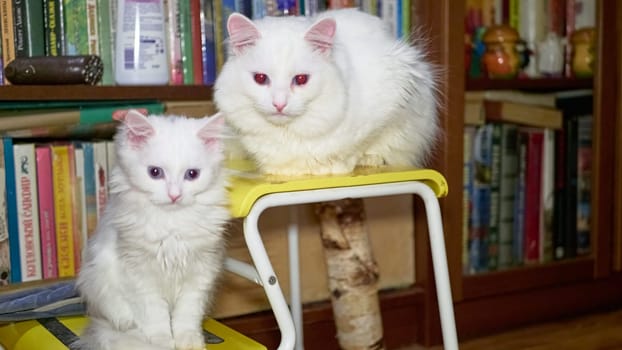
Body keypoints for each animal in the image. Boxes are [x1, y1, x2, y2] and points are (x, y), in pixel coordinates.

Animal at [76, 110, 232, 350]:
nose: (174, 195)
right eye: (155, 172)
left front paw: (189, 341)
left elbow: (187, 316)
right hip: (99, 285)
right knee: (123, 317)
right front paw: (161, 342)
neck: (172, 223)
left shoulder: (201, 273)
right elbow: (155, 317)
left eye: (192, 174)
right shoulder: (139, 275)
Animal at [217, 8, 442, 175]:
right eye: (261, 78)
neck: (287, 133)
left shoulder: (394, 96)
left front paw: (338, 166)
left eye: (301, 79)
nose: (279, 104)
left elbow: (359, 146)